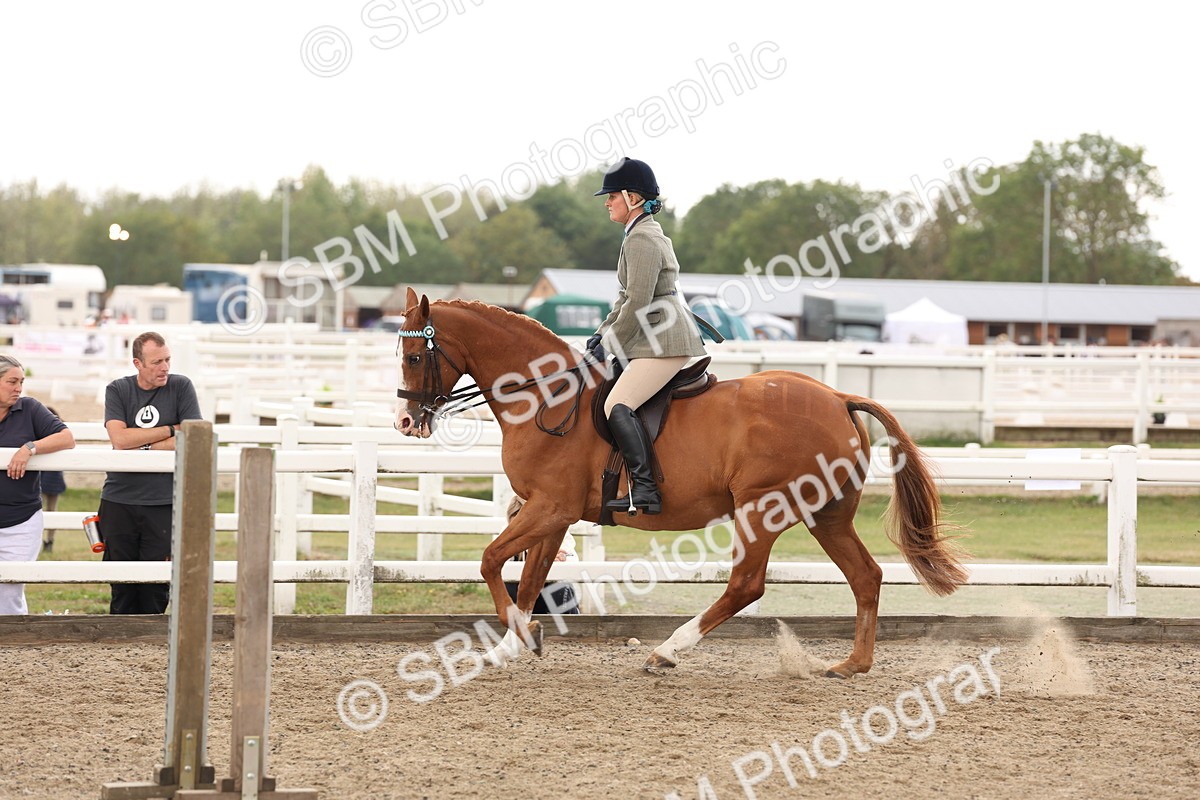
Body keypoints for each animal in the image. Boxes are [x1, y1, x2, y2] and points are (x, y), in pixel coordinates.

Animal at [394, 288, 967, 677]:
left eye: (415, 356)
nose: (405, 422)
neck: (545, 396)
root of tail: (838, 397)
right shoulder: (552, 513)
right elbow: (532, 578)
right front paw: (515, 642)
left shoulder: (550, 507)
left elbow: (491, 559)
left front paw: (518, 635)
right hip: (826, 514)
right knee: (865, 576)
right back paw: (852, 664)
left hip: (763, 508)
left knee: (746, 585)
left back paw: (667, 651)